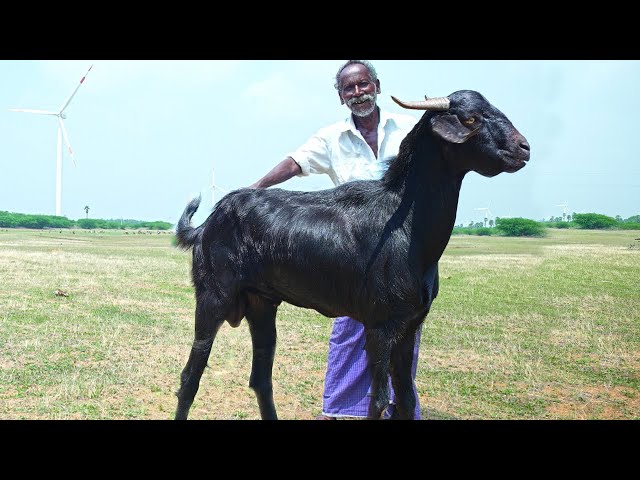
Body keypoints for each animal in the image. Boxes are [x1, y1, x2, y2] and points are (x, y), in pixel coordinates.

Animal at [174, 90, 530, 420]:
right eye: (471, 118)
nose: (524, 147)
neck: (406, 225)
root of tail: (207, 224)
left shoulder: (410, 325)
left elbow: (406, 399)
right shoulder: (380, 326)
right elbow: (378, 400)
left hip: (262, 304)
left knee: (261, 379)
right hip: (213, 298)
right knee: (190, 377)